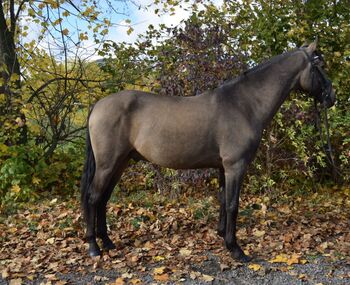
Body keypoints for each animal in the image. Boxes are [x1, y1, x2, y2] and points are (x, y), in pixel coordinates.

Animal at [80, 41, 334, 260]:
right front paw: (235, 249)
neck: (244, 105)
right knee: (93, 198)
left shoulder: (223, 167)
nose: (332, 97)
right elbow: (233, 204)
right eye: (319, 65)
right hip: (107, 164)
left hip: (120, 163)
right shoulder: (235, 166)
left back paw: (108, 242)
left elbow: (223, 200)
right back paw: (94, 247)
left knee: (103, 199)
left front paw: (222, 235)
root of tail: (98, 105)